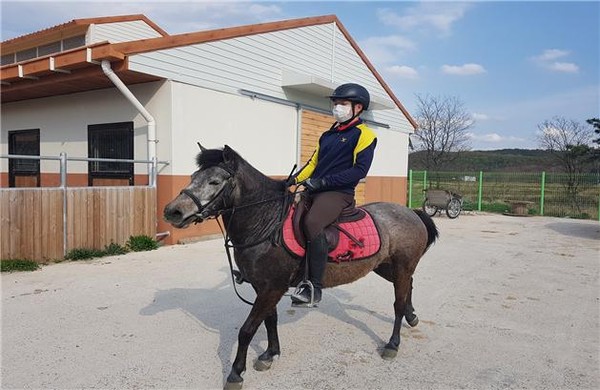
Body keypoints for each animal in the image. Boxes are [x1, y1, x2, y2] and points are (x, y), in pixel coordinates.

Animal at [162, 145, 438, 390]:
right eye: (193, 177)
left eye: (214, 181)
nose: (172, 211)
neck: (265, 221)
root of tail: (411, 212)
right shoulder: (263, 287)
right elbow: (269, 320)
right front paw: (270, 354)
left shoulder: (272, 287)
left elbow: (247, 329)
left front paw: (236, 373)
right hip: (386, 266)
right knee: (409, 286)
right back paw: (412, 317)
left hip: (401, 265)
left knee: (398, 302)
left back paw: (393, 343)